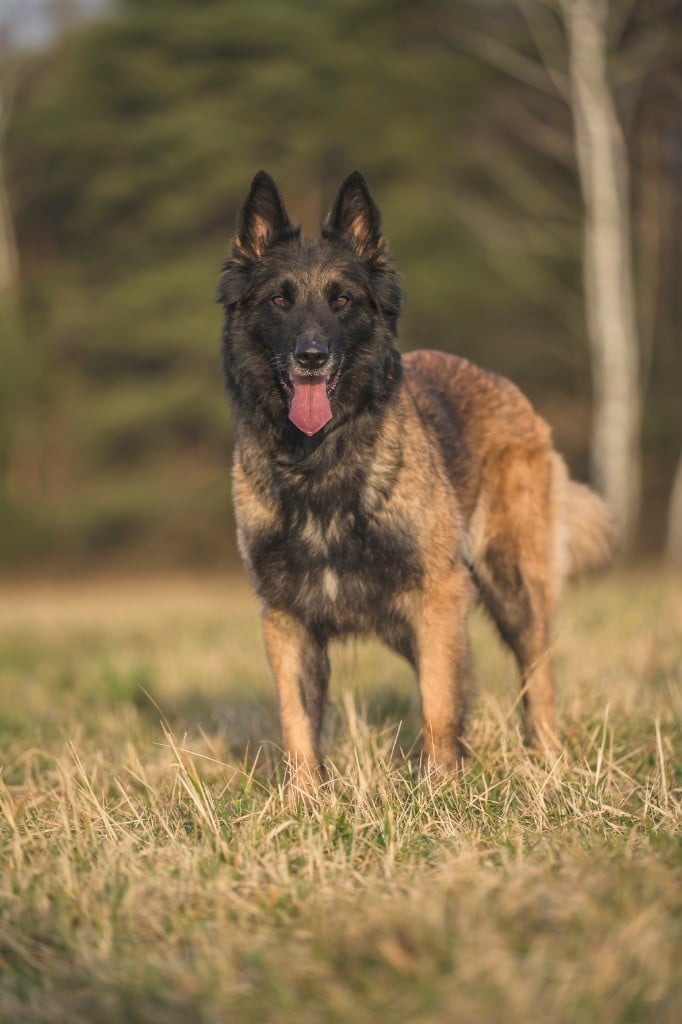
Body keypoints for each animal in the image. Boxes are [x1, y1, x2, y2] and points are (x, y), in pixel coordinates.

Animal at [216, 172, 610, 786]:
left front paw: (442, 789)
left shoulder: (437, 595)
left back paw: (546, 763)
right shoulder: (288, 617)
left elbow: (438, 702)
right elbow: (297, 720)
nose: (311, 357)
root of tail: (503, 383)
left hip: (509, 585)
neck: (320, 462)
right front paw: (304, 799)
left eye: (343, 300)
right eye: (280, 299)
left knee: (536, 673)